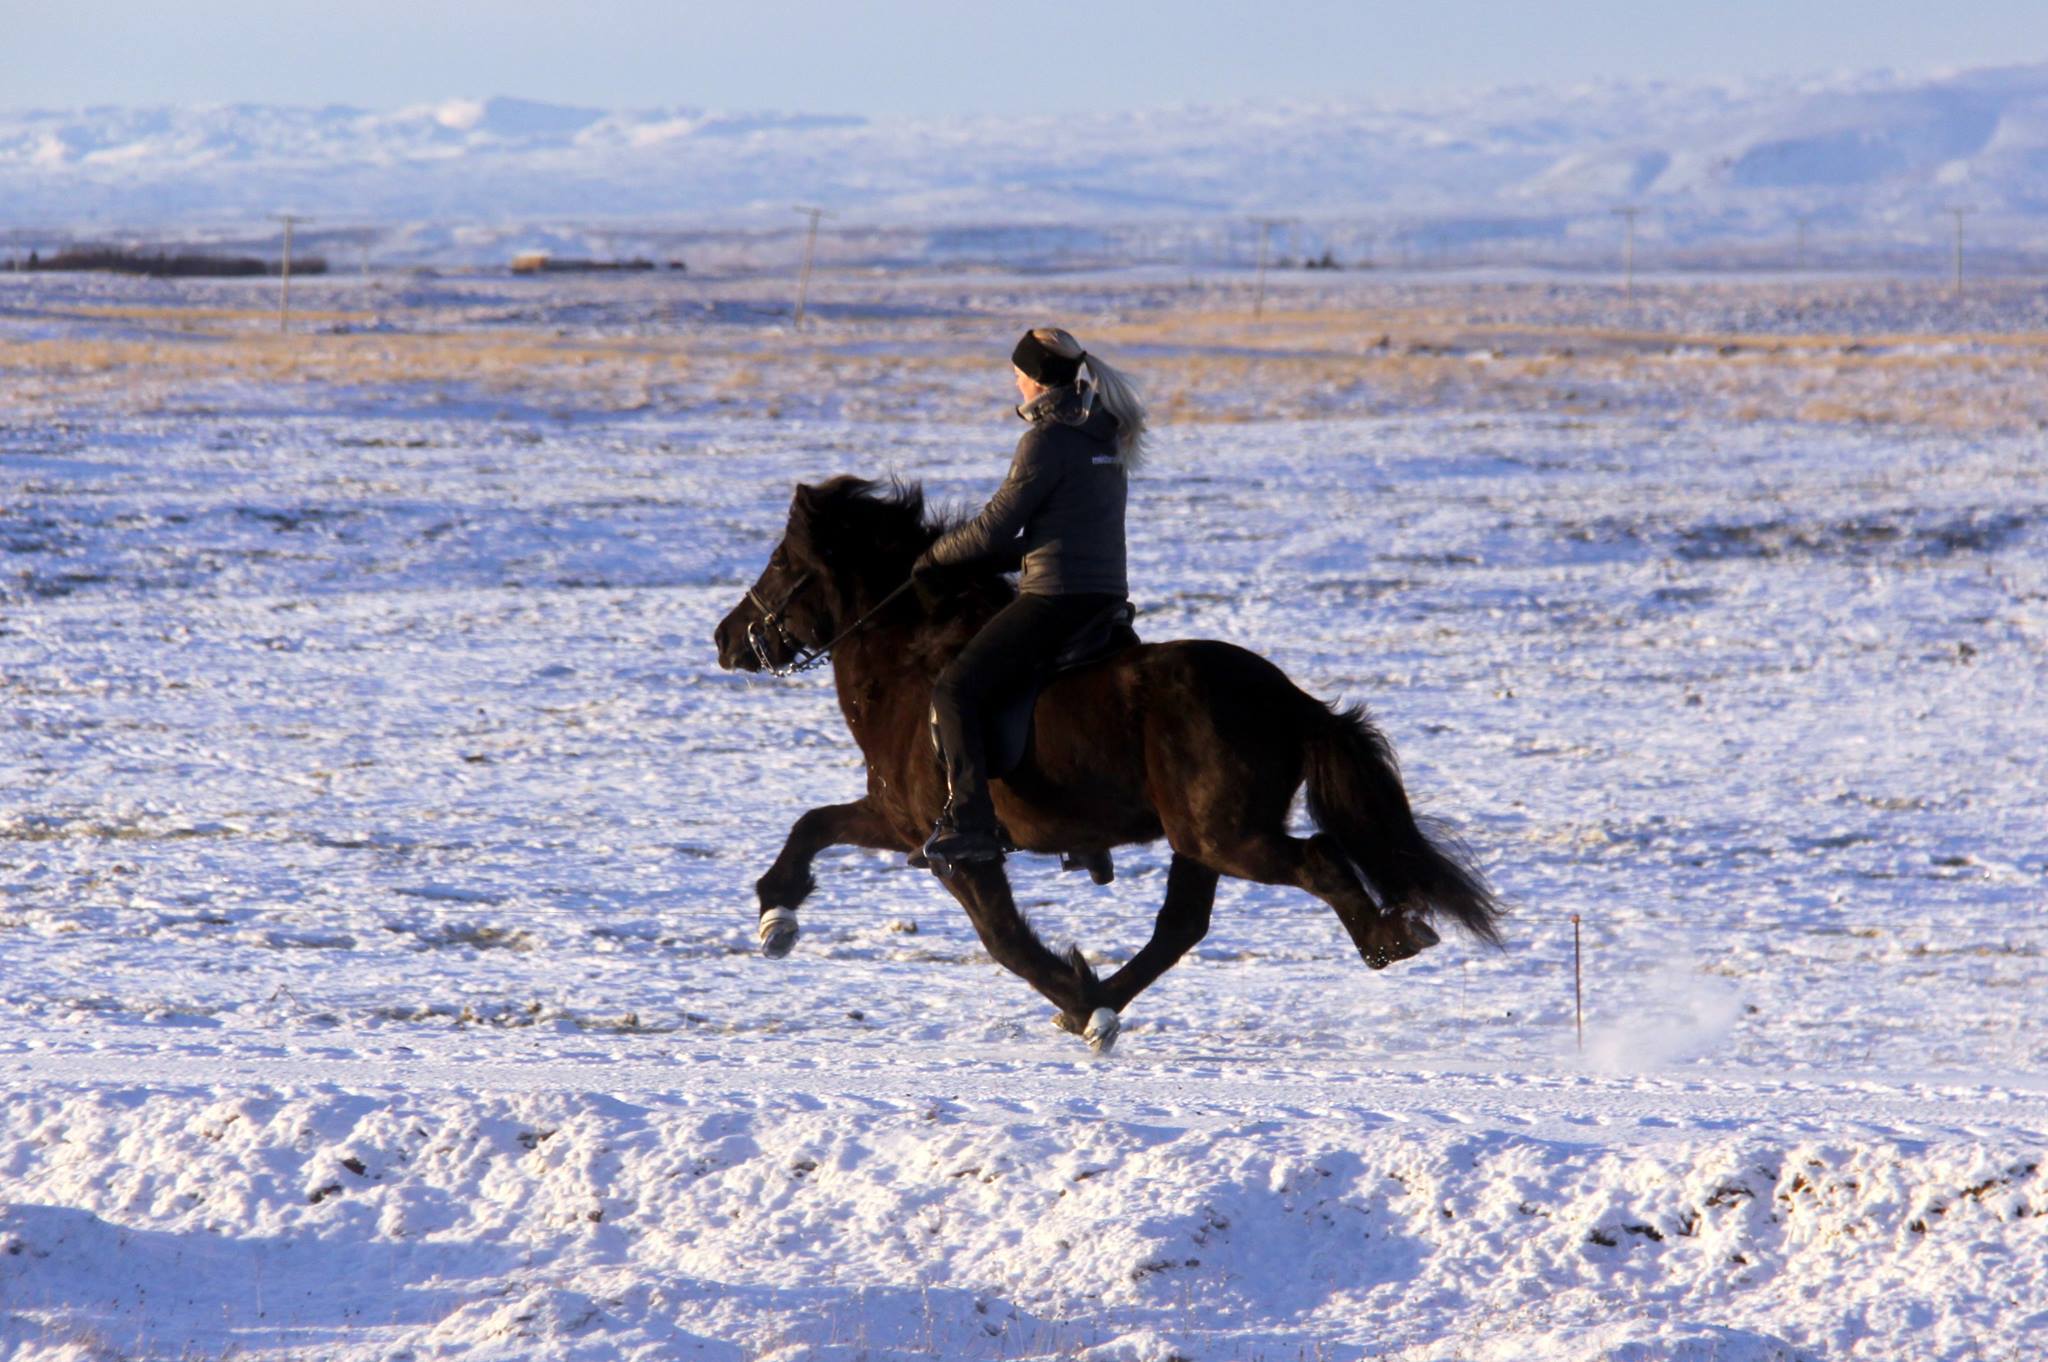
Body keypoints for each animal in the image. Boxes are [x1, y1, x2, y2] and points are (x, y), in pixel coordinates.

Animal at [720, 475, 1507, 1048]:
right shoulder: (899, 819)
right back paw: (1102, 1002)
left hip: (1227, 836)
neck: (913, 664)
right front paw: (776, 914)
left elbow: (1002, 937)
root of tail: (1288, 698)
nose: (724, 638)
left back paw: (1386, 938)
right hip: (1199, 840)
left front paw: (1075, 993)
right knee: (1181, 927)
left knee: (1315, 863)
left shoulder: (957, 847)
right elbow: (815, 824)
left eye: (783, 563)